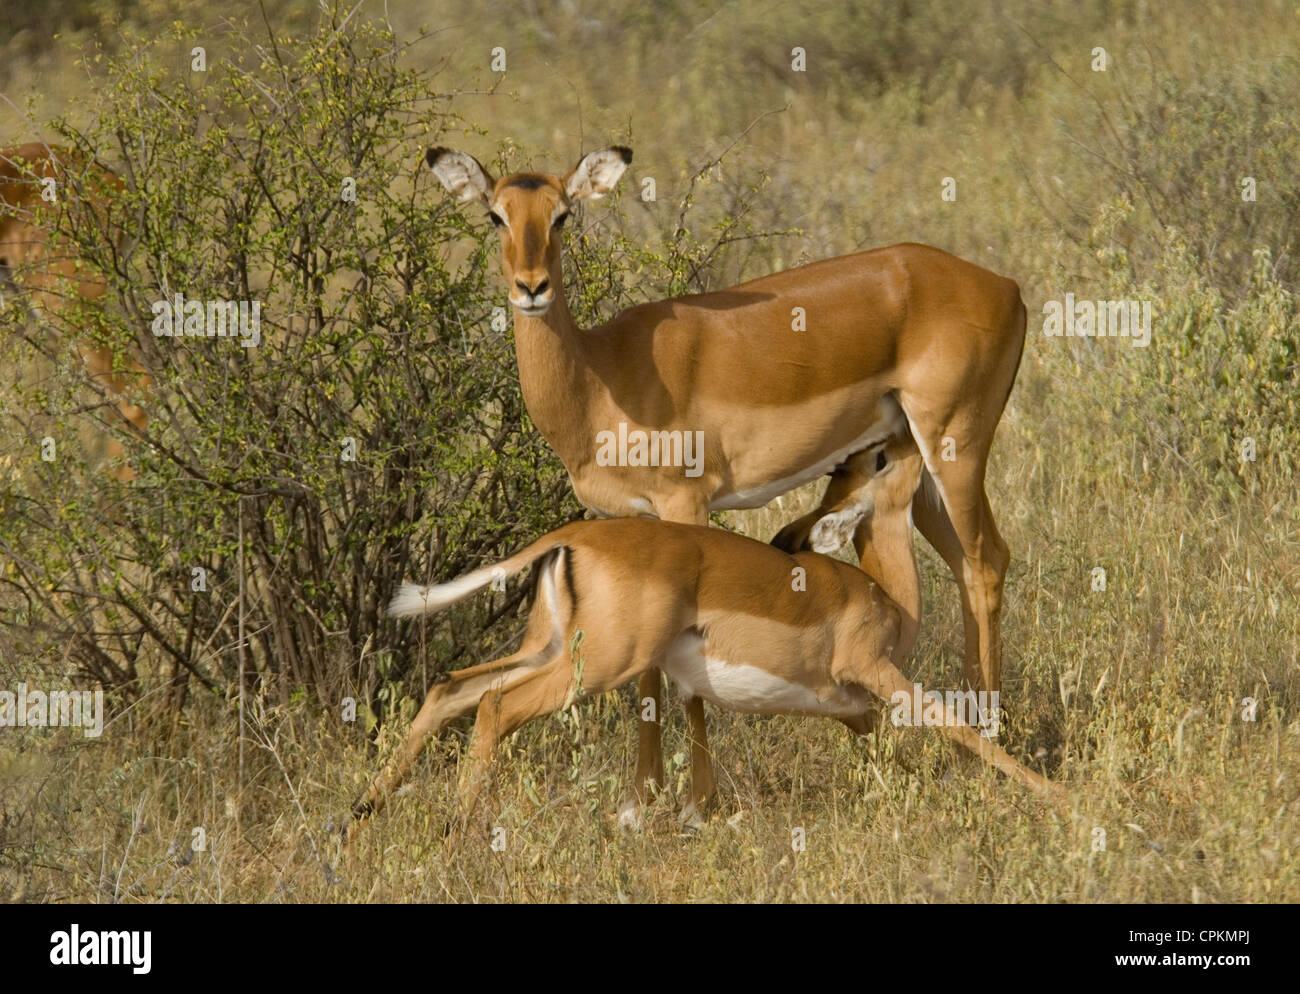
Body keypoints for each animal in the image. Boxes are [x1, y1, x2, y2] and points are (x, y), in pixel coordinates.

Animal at [353, 433, 1056, 837]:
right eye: (879, 458)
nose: (917, 439)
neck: (883, 596)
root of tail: (570, 538)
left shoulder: (852, 710)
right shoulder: (879, 676)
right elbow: (960, 726)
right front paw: (1062, 799)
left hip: (547, 650)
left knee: (451, 689)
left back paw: (365, 813)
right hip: (598, 666)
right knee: (496, 706)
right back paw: (456, 828)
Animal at [420, 142, 1026, 827]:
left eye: (563, 215)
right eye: (494, 215)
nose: (530, 288)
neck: (604, 375)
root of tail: (1006, 287)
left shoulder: (687, 501)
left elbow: (680, 677)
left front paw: (691, 802)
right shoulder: (627, 519)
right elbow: (651, 670)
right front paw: (640, 801)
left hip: (955, 450)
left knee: (983, 564)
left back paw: (988, 758)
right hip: (920, 469)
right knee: (973, 564)